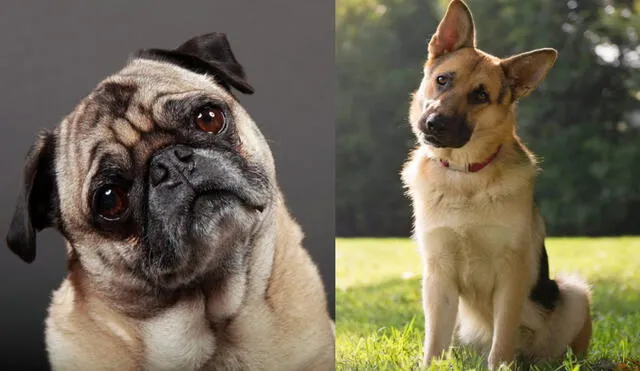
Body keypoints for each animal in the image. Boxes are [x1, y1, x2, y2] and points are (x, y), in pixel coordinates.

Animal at [402, 0, 592, 370]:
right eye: (442, 80)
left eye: (480, 95)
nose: (434, 124)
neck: (465, 175)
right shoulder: (438, 276)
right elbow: (434, 342)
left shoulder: (511, 276)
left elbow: (502, 339)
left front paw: (501, 364)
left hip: (574, 293)